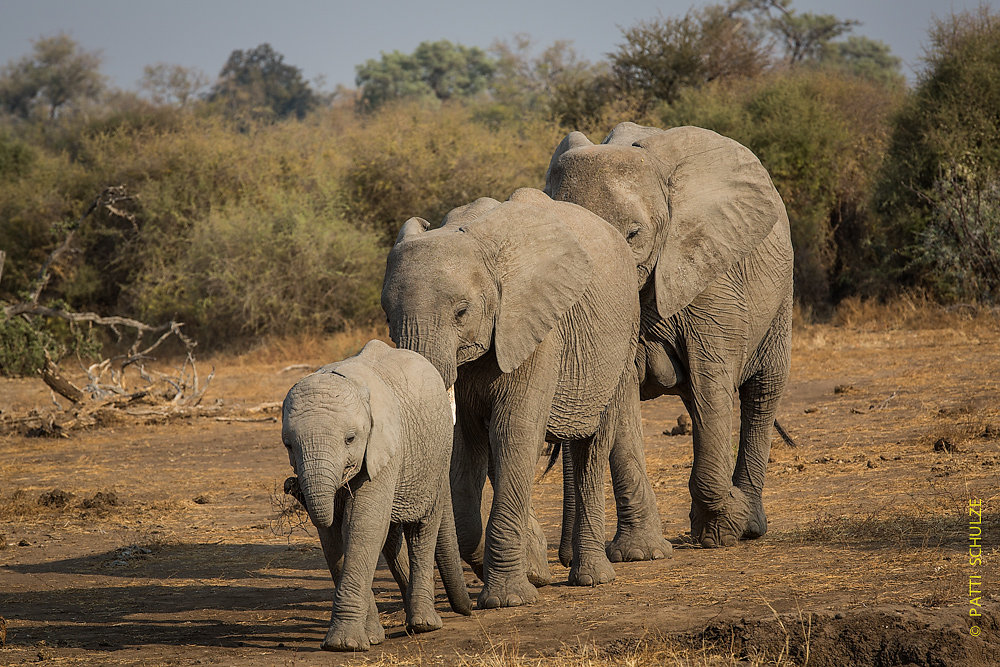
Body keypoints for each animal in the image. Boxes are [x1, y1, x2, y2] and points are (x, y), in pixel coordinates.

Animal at [280, 340, 470, 652]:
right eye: (288, 445)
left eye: (350, 439)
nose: (290, 485)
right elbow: (335, 536)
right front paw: (367, 638)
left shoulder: (385, 446)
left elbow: (362, 526)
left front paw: (343, 645)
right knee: (390, 536)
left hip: (437, 454)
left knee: (421, 530)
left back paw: (424, 625)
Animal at [382, 188, 672, 612]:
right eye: (388, 317)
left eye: (461, 312)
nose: (462, 607)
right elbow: (467, 445)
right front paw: (526, 574)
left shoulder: (534, 328)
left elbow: (513, 433)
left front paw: (507, 600)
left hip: (622, 337)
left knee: (593, 446)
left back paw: (591, 578)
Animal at [544, 122, 792, 552]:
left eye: (633, 234)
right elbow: (624, 398)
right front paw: (640, 553)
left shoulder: (710, 275)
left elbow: (713, 377)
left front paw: (727, 527)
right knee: (700, 404)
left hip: (781, 292)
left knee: (761, 392)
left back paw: (748, 526)